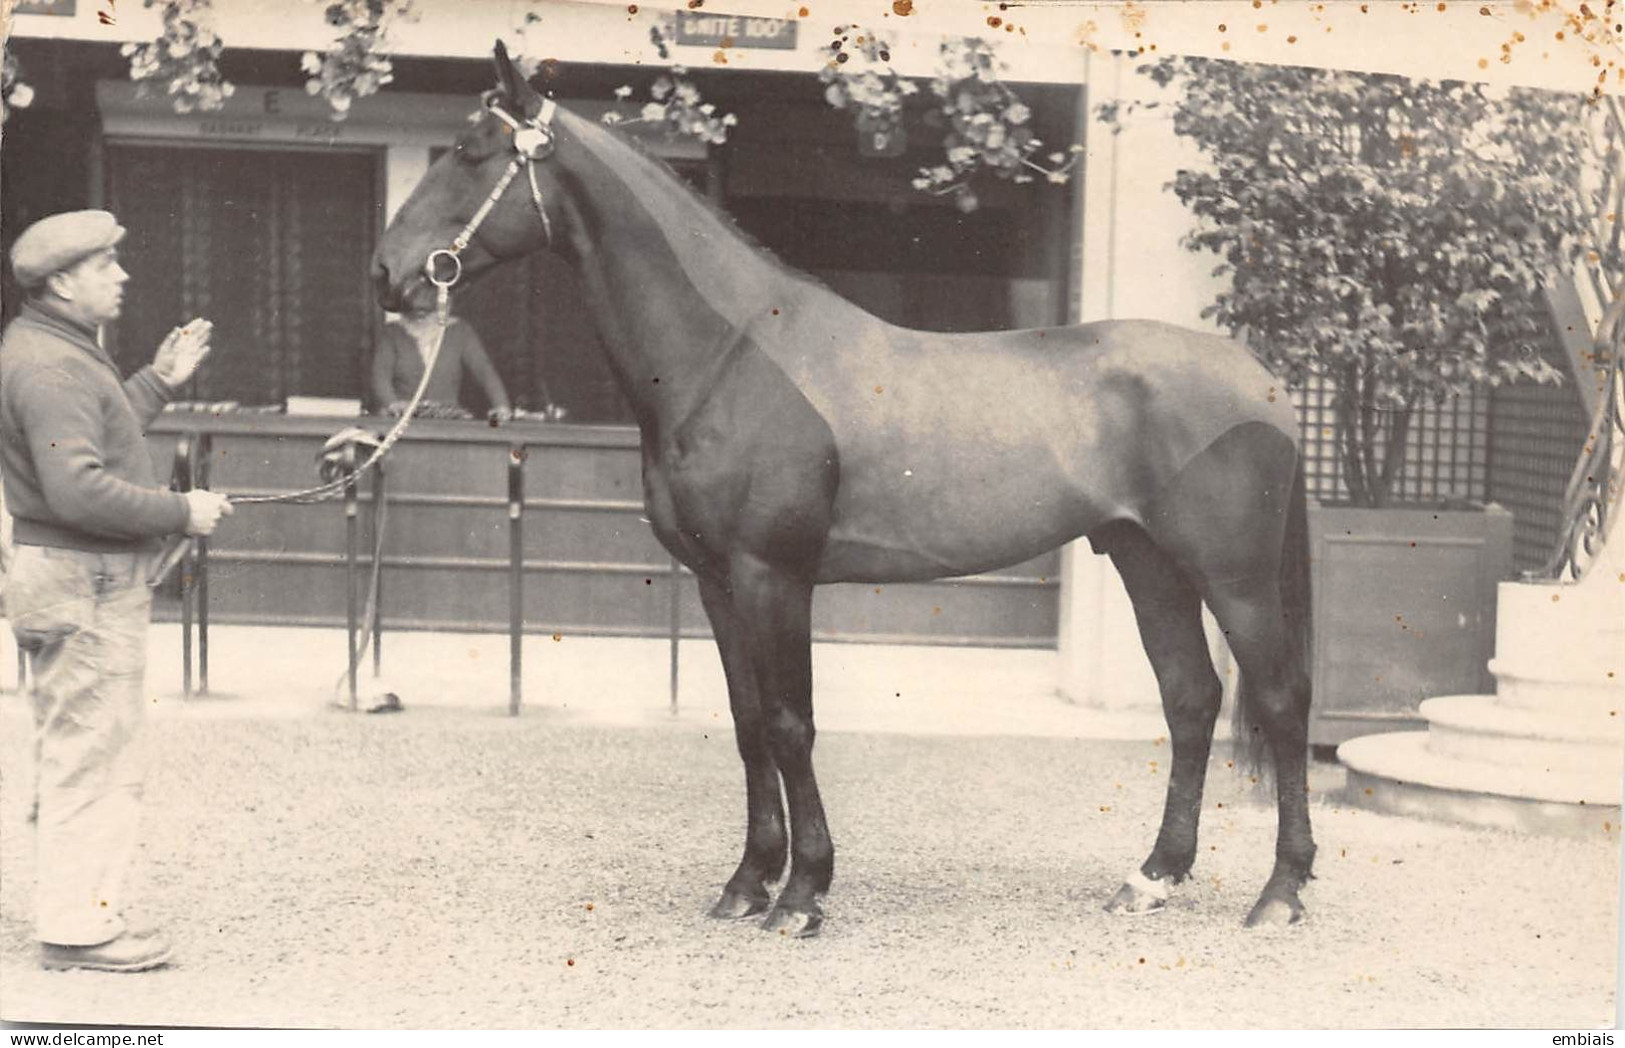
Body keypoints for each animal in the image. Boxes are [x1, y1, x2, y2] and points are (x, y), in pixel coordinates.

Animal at [373, 44, 1313, 935]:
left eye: (469, 151)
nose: (387, 273)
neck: (728, 358)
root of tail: (1261, 380)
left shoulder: (773, 576)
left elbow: (792, 724)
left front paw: (802, 894)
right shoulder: (717, 584)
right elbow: (748, 724)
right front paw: (746, 884)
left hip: (1231, 576)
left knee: (1279, 698)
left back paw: (1280, 891)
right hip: (1145, 560)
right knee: (1190, 697)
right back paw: (1151, 878)